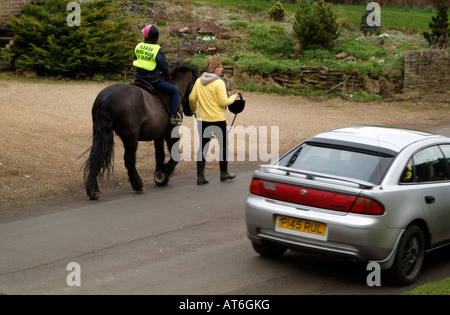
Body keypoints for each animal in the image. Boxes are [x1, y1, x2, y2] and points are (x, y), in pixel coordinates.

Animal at [83, 65, 198, 200]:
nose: (191, 111)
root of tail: (108, 96)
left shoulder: (158, 135)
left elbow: (160, 155)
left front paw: (160, 175)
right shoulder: (170, 131)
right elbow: (175, 155)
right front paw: (164, 174)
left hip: (99, 135)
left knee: (95, 156)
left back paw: (93, 190)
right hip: (130, 137)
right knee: (129, 159)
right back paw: (137, 184)